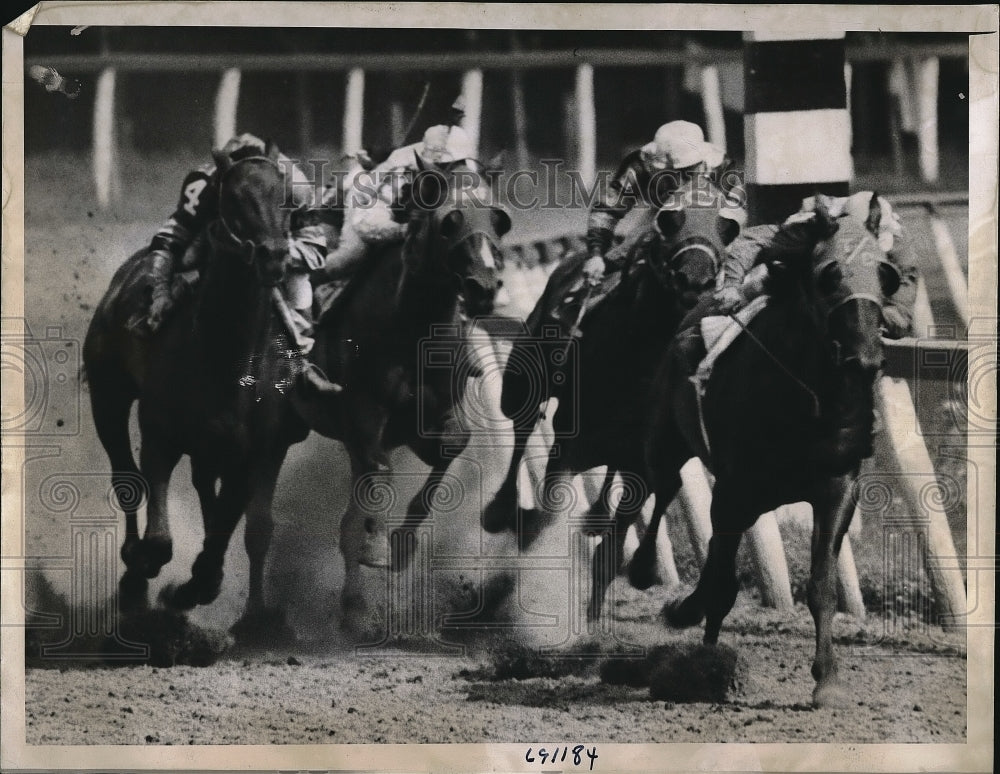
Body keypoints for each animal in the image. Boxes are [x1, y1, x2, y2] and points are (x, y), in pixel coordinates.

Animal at [86, 147, 308, 644]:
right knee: (126, 480)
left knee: (215, 499)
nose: (275, 256)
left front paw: (195, 589)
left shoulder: (254, 451)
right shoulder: (160, 436)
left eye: (285, 199)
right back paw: (133, 581)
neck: (225, 354)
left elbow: (227, 529)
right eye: (235, 199)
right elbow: (159, 536)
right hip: (107, 396)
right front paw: (145, 571)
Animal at [290, 159, 508, 636]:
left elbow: (450, 447)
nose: (483, 286)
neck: (410, 330)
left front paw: (403, 546)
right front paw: (375, 547)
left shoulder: (432, 418)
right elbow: (378, 476)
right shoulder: (364, 417)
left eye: (499, 219)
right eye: (450, 221)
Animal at [640, 206, 884, 708]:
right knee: (661, 491)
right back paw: (643, 571)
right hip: (666, 444)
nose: (865, 358)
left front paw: (828, 681)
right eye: (830, 274)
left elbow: (821, 584)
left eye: (884, 274)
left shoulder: (836, 486)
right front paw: (704, 663)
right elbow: (720, 581)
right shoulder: (735, 490)